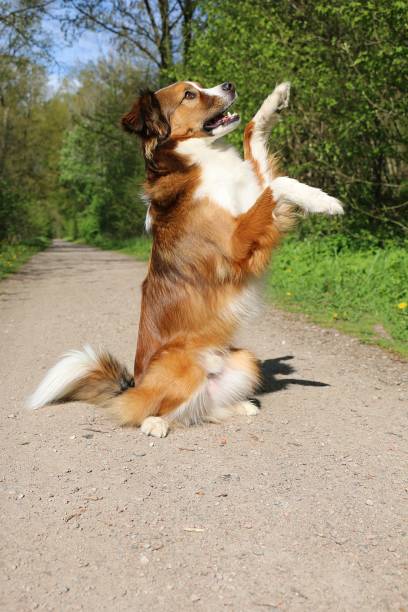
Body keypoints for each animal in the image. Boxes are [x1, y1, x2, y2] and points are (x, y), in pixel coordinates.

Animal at [27, 81, 342, 438]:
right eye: (189, 95)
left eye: (200, 85)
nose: (229, 85)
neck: (198, 160)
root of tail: (134, 386)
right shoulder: (236, 242)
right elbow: (278, 185)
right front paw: (323, 200)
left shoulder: (250, 198)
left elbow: (253, 138)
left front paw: (274, 101)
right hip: (183, 366)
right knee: (153, 410)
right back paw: (154, 424)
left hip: (244, 359)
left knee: (203, 411)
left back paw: (239, 406)